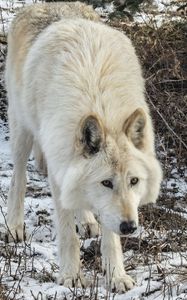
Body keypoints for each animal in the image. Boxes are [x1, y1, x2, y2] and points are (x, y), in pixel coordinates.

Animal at [5, 1, 161, 292]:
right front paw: (71, 276)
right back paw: (14, 225)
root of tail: (47, 6)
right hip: (22, 129)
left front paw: (116, 276)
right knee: (18, 178)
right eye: (106, 182)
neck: (102, 108)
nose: (129, 227)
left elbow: (110, 238)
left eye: (134, 181)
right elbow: (68, 234)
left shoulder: (109, 206)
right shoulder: (58, 172)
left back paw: (88, 222)